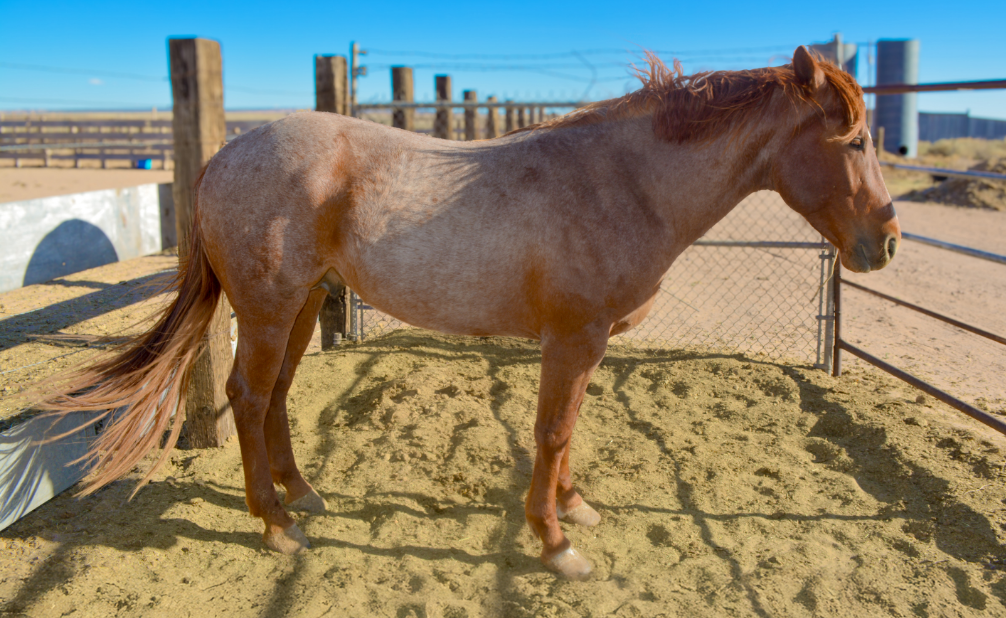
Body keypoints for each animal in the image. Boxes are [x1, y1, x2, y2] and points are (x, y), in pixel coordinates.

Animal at [43, 46, 899, 580]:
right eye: (855, 140)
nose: (886, 243)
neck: (622, 182)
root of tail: (225, 155)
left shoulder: (584, 345)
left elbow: (569, 430)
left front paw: (574, 508)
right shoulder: (572, 339)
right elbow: (551, 432)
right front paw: (555, 543)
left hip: (301, 304)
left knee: (276, 395)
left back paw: (302, 494)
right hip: (266, 307)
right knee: (248, 399)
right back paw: (277, 525)